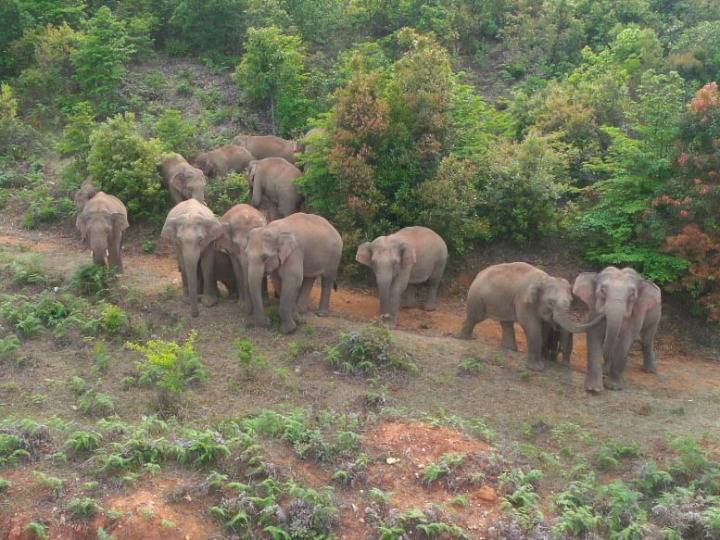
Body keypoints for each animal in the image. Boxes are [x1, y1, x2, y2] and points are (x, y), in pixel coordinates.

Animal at [458, 264, 604, 374]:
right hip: (477, 296)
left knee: (506, 323)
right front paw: (537, 369)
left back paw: (510, 349)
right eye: (551, 303)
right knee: (474, 317)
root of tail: (479, 274)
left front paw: (542, 361)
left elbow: (543, 329)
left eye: (570, 303)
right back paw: (464, 338)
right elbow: (532, 326)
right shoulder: (524, 300)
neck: (545, 278)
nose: (566, 365)